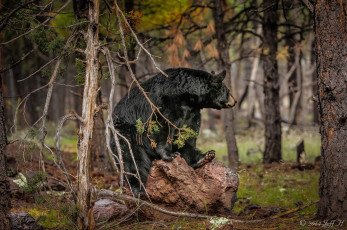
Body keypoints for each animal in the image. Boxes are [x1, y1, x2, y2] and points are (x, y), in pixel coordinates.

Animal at [111, 67, 237, 195]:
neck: (186, 95)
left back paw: (205, 156)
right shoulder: (165, 103)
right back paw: (139, 188)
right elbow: (162, 127)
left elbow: (188, 134)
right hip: (127, 133)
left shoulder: (192, 112)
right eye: (227, 91)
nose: (235, 101)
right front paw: (168, 155)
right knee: (131, 158)